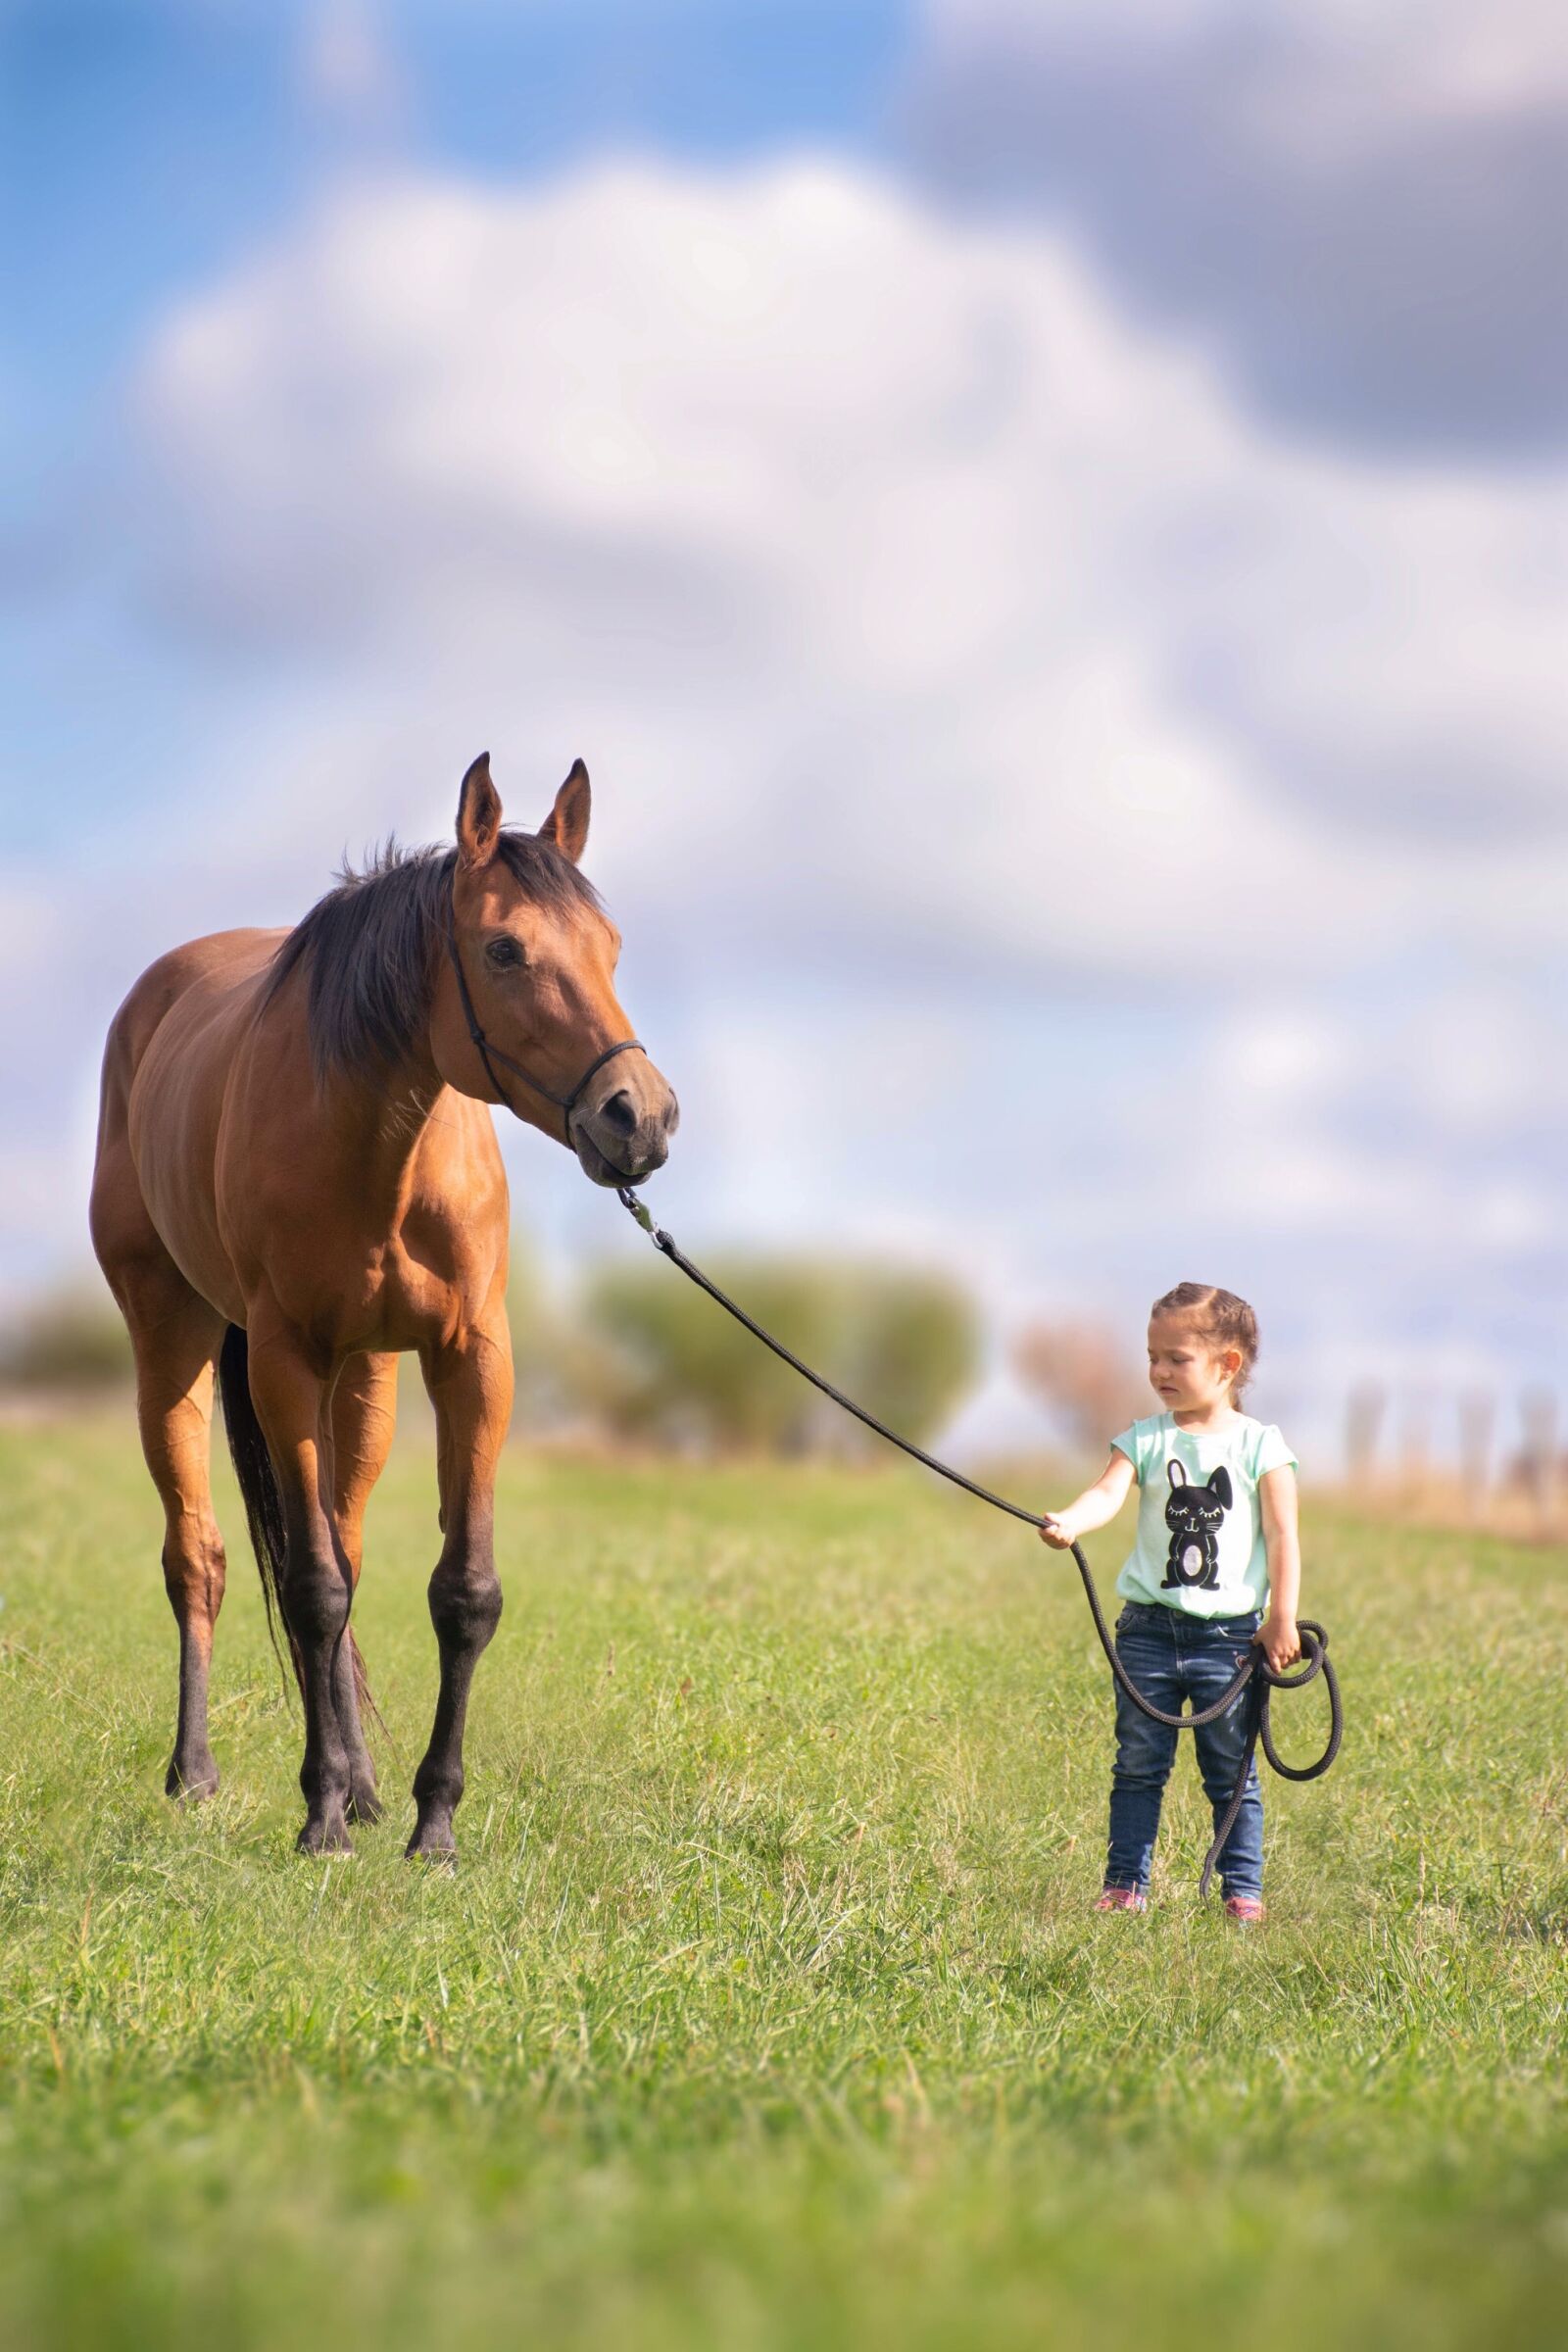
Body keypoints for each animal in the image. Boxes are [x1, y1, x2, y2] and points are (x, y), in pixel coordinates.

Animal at [89, 753, 678, 1858]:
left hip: (363, 1378)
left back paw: (362, 1784)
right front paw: (322, 1818)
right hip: (173, 1340)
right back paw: (198, 1775)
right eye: (503, 949)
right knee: (203, 1558)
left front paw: (428, 1820)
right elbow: (311, 1592)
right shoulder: (283, 1359)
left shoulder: (471, 1361)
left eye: (612, 948)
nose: (642, 1117)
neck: (380, 1145)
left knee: (343, 1547)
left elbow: (460, 1591)